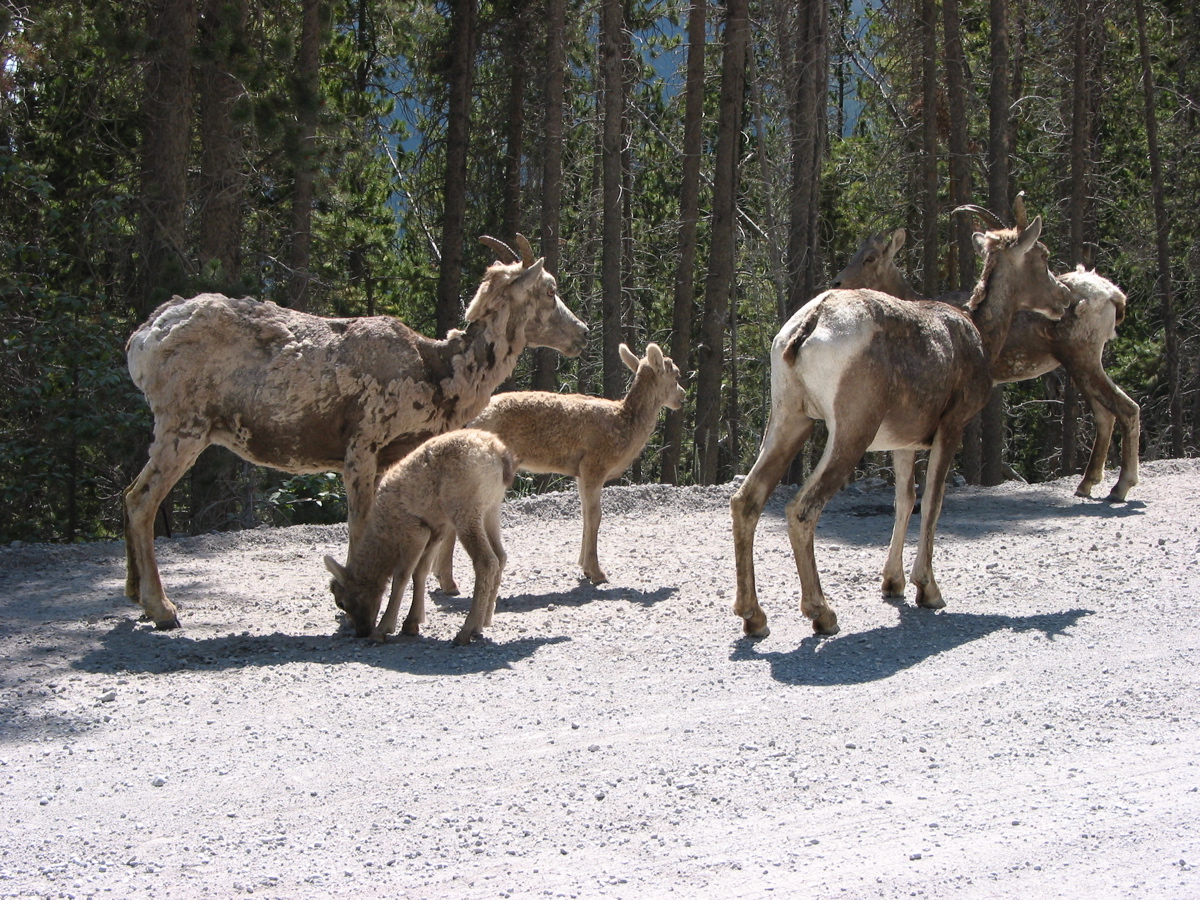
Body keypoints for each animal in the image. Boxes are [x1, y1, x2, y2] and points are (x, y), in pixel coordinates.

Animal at [324, 427, 516, 643]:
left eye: (341, 602)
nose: (361, 631)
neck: (385, 536)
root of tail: (500, 455)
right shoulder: (437, 529)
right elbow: (421, 571)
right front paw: (411, 623)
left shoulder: (415, 531)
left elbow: (402, 575)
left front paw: (383, 629)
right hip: (491, 508)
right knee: (500, 556)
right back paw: (483, 622)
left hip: (465, 511)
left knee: (486, 561)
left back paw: (465, 632)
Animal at [432, 340, 686, 592]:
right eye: (676, 374)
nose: (682, 396)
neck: (625, 425)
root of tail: (471, 421)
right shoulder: (594, 464)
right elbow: (595, 516)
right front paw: (597, 572)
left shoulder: (580, 472)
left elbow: (584, 515)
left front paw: (584, 567)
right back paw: (448, 581)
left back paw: (442, 577)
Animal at [729, 218, 1070, 643]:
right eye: (1042, 256)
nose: (1064, 297)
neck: (981, 335)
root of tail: (807, 327)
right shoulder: (952, 425)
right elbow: (933, 502)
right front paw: (928, 590)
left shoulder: (903, 442)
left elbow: (904, 501)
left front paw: (893, 584)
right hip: (851, 429)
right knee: (802, 509)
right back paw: (822, 613)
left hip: (789, 418)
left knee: (746, 500)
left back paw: (754, 617)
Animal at [830, 211, 1137, 504]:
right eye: (855, 253)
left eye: (870, 257)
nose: (837, 281)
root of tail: (1115, 296)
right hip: (1084, 359)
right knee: (1105, 414)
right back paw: (1088, 484)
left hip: (1080, 353)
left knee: (1126, 407)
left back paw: (1120, 487)